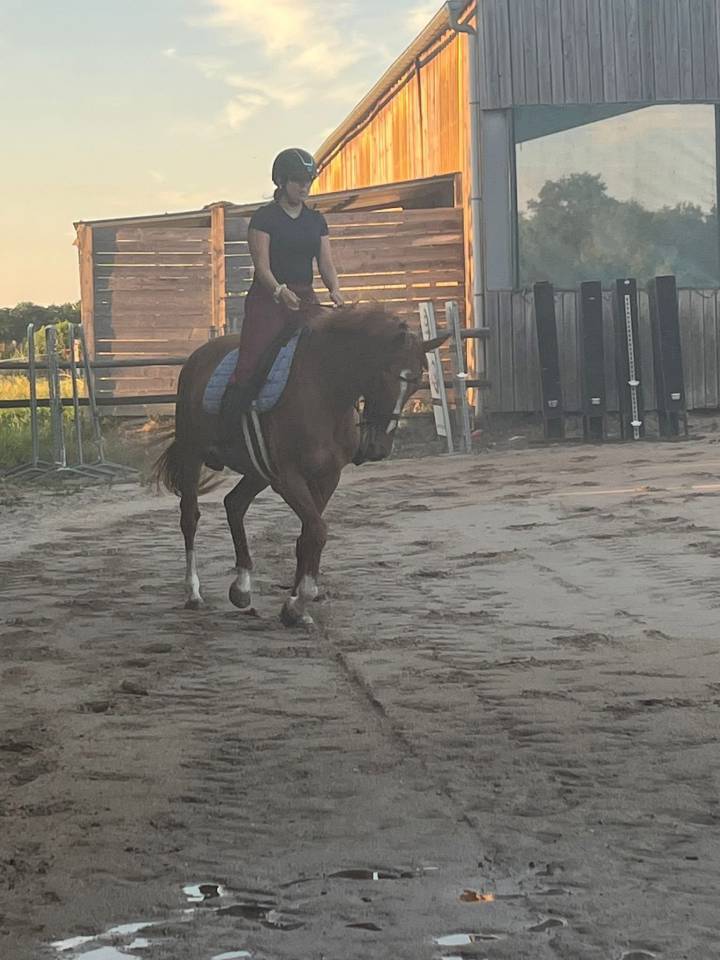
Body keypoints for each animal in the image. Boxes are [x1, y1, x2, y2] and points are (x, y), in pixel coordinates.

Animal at [152, 304, 447, 626]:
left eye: (416, 383)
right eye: (385, 375)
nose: (378, 449)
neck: (325, 393)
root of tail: (198, 357)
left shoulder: (328, 476)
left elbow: (308, 535)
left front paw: (293, 605)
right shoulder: (287, 478)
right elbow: (316, 530)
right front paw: (300, 601)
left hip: (257, 471)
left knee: (235, 504)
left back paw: (241, 587)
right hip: (193, 456)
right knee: (190, 517)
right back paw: (193, 593)